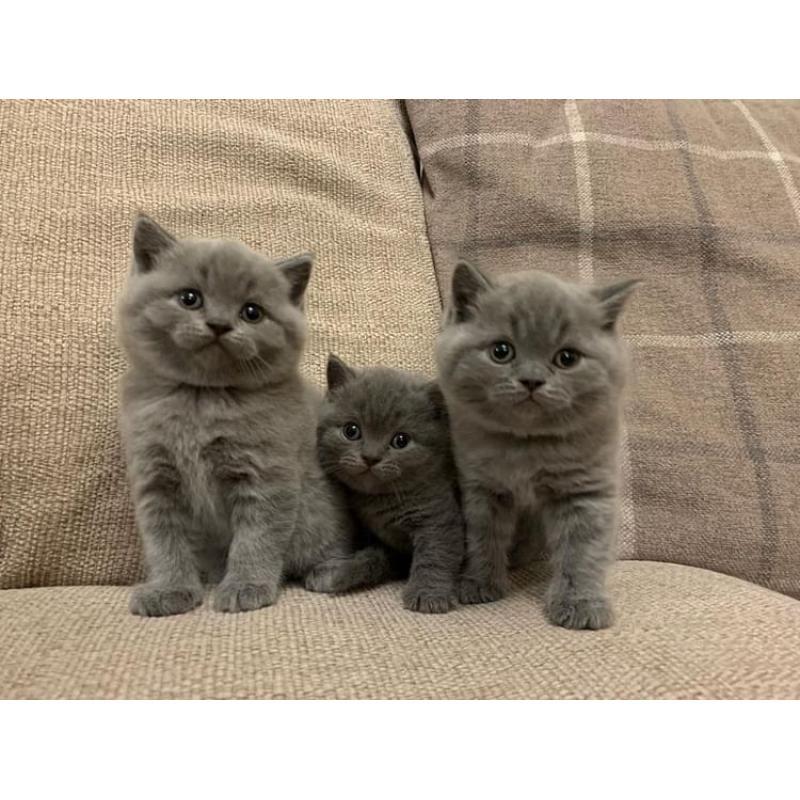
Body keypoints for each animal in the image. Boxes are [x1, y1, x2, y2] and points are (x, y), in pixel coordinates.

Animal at [117, 216, 354, 616]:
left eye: (252, 312)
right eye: (190, 298)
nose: (218, 324)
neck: (201, 398)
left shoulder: (266, 474)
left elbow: (256, 537)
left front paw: (247, 586)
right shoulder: (155, 478)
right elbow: (165, 541)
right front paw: (169, 589)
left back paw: (331, 572)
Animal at [312, 356, 462, 612]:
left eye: (401, 440)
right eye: (351, 430)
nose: (370, 457)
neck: (382, 501)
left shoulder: (439, 518)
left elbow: (435, 554)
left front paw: (428, 595)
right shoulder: (380, 539)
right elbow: (375, 558)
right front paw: (344, 573)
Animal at [434, 262, 636, 632]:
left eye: (567, 358)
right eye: (501, 351)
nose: (531, 380)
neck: (526, 445)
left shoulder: (586, 489)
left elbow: (582, 551)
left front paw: (581, 603)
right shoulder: (481, 486)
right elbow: (484, 536)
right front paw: (479, 583)